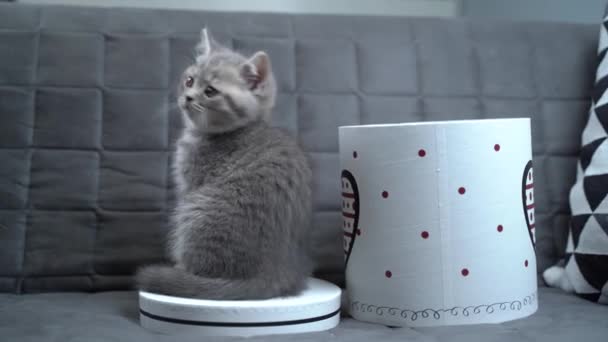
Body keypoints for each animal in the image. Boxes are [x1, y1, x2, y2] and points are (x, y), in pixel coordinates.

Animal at [137, 30, 314, 302]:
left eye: (210, 91)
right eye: (189, 80)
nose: (187, 97)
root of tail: (273, 273)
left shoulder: (191, 185)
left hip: (195, 211)